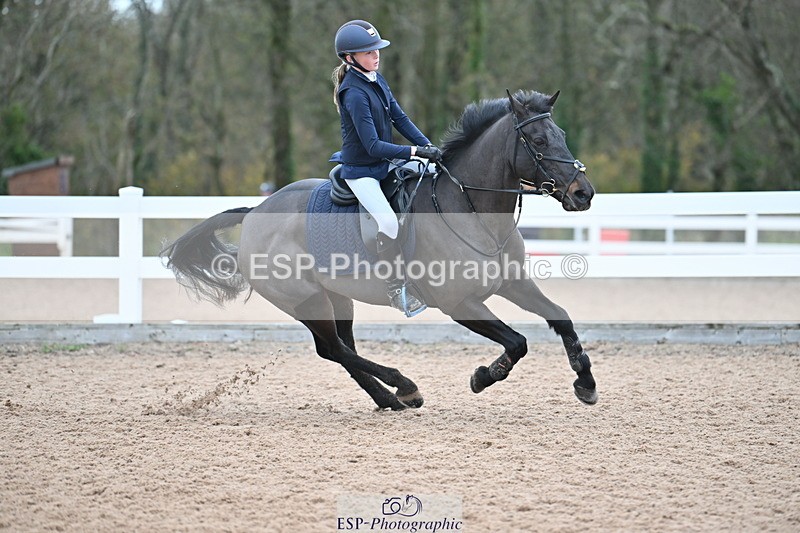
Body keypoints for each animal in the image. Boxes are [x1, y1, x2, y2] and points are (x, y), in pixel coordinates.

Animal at [161, 89, 598, 410]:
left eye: (561, 136)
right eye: (538, 141)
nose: (583, 193)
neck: (472, 210)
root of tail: (255, 213)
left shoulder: (513, 284)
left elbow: (561, 318)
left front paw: (586, 382)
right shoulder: (460, 303)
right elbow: (517, 342)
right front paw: (482, 377)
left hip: (337, 296)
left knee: (341, 349)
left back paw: (389, 398)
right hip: (304, 299)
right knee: (333, 349)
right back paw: (403, 386)